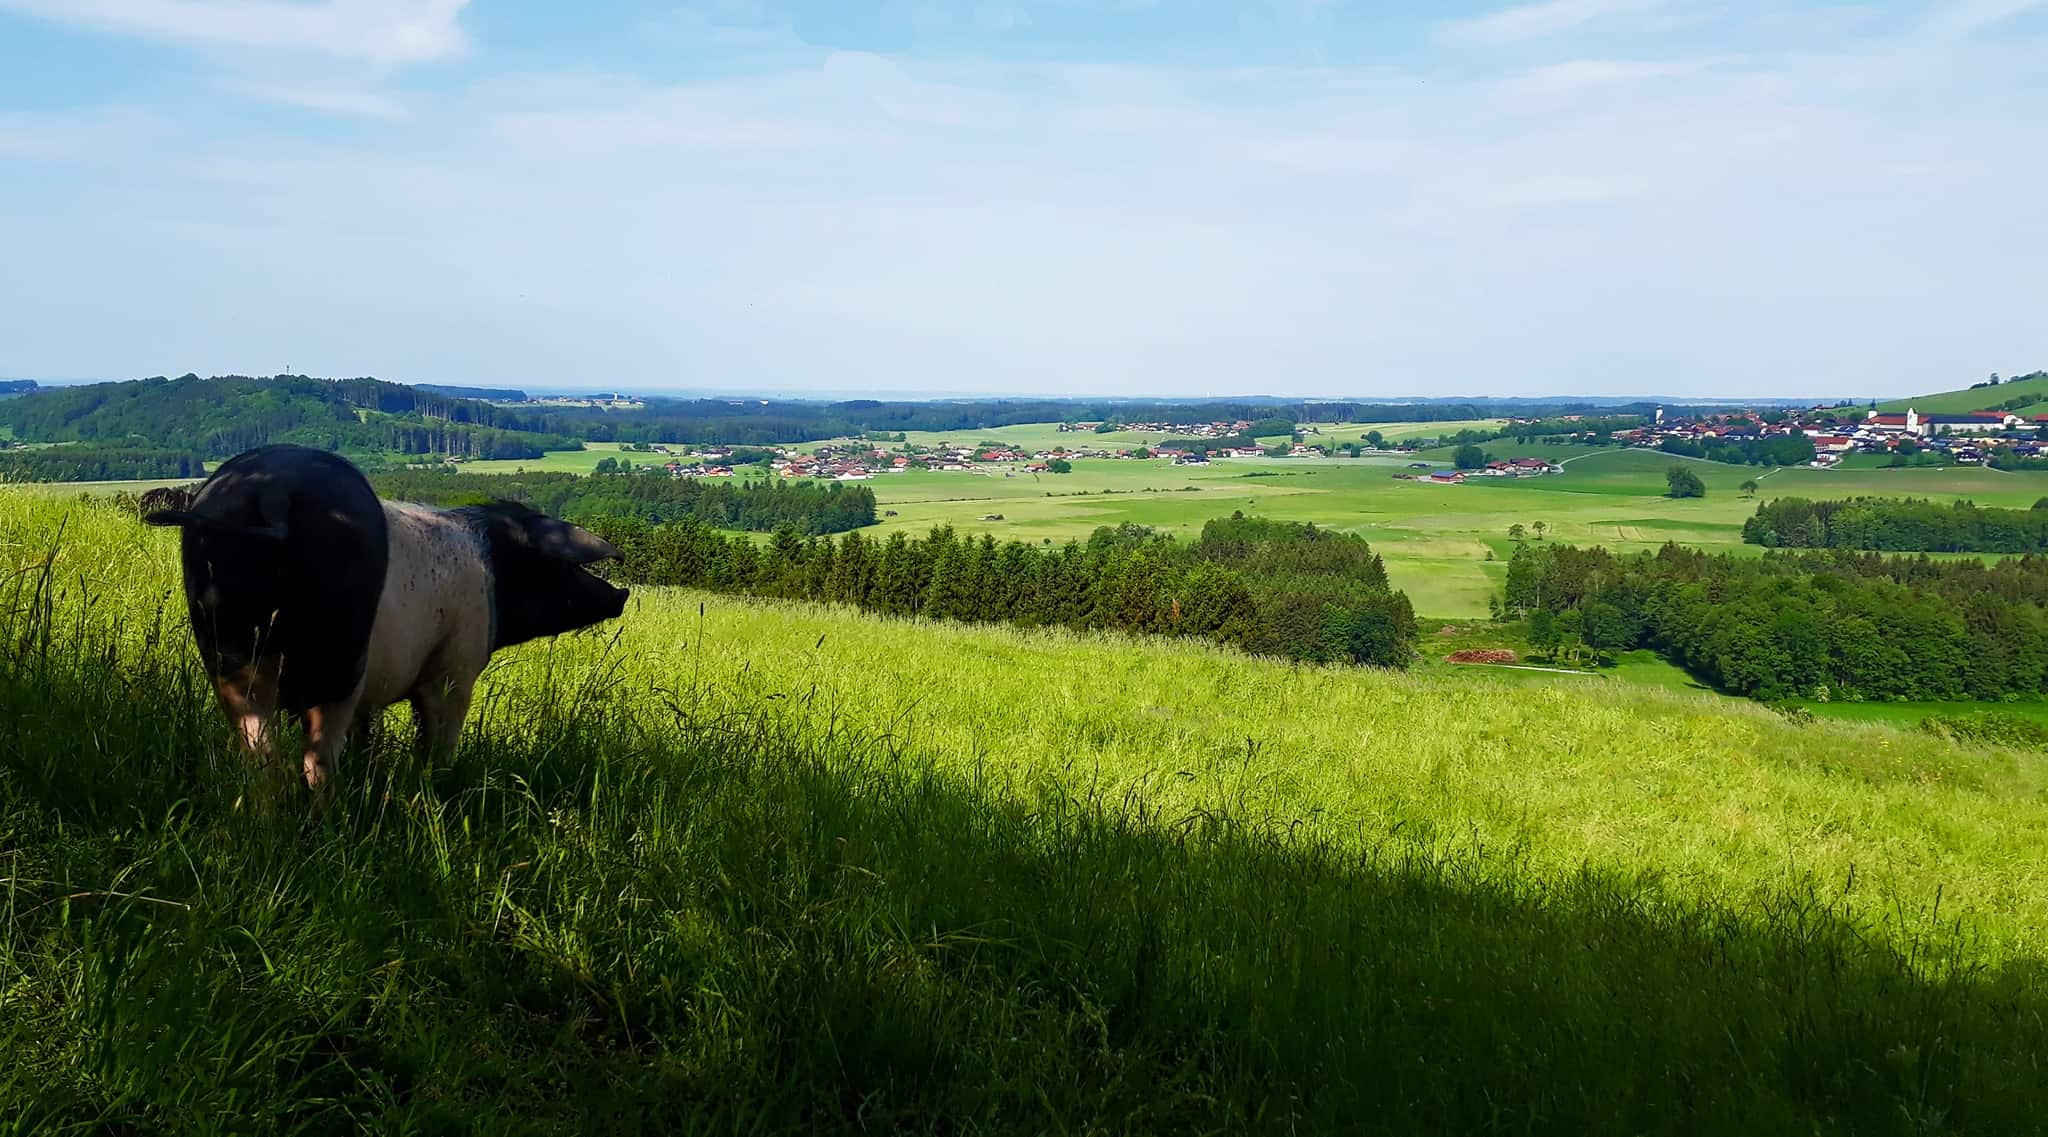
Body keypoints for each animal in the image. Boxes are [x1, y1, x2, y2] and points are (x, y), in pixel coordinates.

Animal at [149, 440, 626, 807]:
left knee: (261, 751)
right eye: (559, 566)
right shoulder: (457, 665)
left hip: (225, 638)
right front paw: (435, 784)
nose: (620, 596)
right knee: (316, 759)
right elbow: (437, 736)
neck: (495, 562)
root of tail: (276, 493)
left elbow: (368, 734)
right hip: (339, 654)